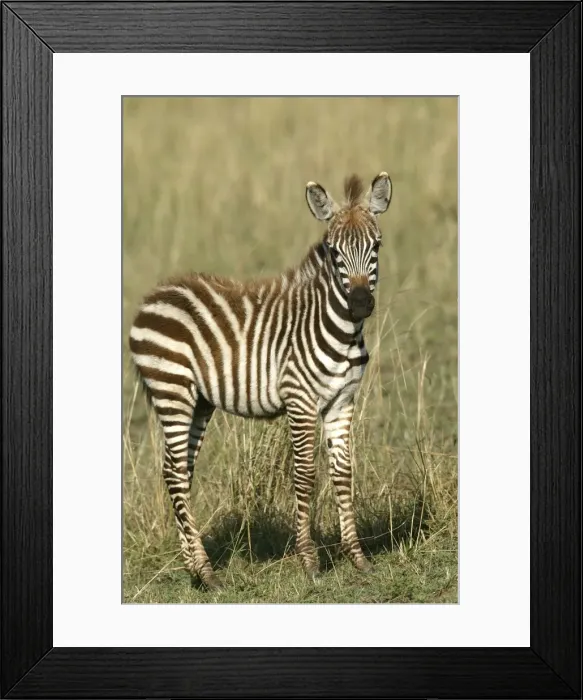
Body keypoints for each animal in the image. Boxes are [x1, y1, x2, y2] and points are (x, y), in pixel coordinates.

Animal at [129, 171, 392, 589]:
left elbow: (343, 473)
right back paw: (206, 571)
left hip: (199, 401)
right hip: (173, 391)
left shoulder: (342, 402)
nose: (360, 304)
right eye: (334, 251)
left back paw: (194, 568)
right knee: (173, 472)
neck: (341, 330)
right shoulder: (300, 400)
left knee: (180, 469)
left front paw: (358, 558)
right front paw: (309, 561)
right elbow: (304, 475)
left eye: (376, 245)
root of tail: (154, 295)